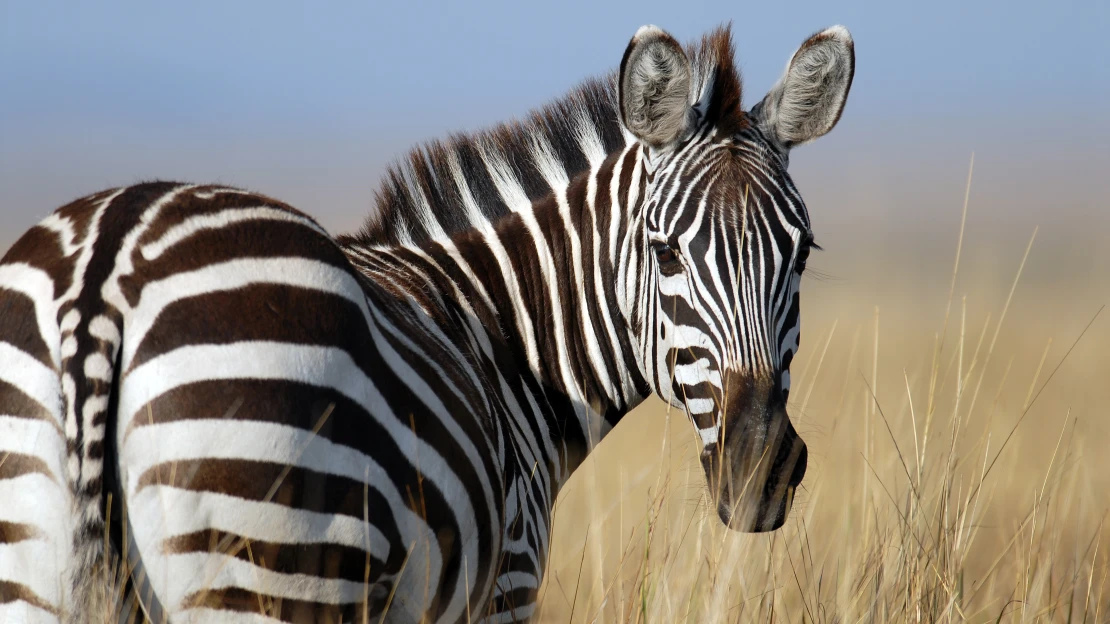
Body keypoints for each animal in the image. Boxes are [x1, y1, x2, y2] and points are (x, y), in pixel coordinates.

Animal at [0, 23, 852, 621]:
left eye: (800, 253)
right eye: (665, 251)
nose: (761, 468)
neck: (507, 342)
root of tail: (105, 269)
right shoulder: (506, 581)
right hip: (260, 561)